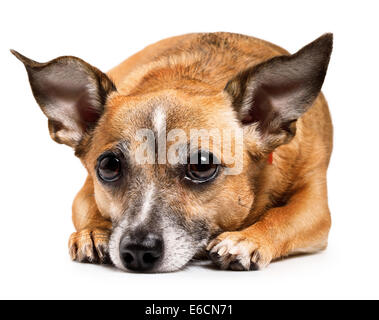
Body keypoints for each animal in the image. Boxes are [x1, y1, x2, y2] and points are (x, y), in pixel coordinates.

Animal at [11, 32, 332, 272]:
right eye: (109, 166)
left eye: (201, 166)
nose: (138, 251)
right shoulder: (86, 190)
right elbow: (89, 206)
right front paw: (94, 231)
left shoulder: (315, 206)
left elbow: (282, 216)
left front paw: (246, 240)